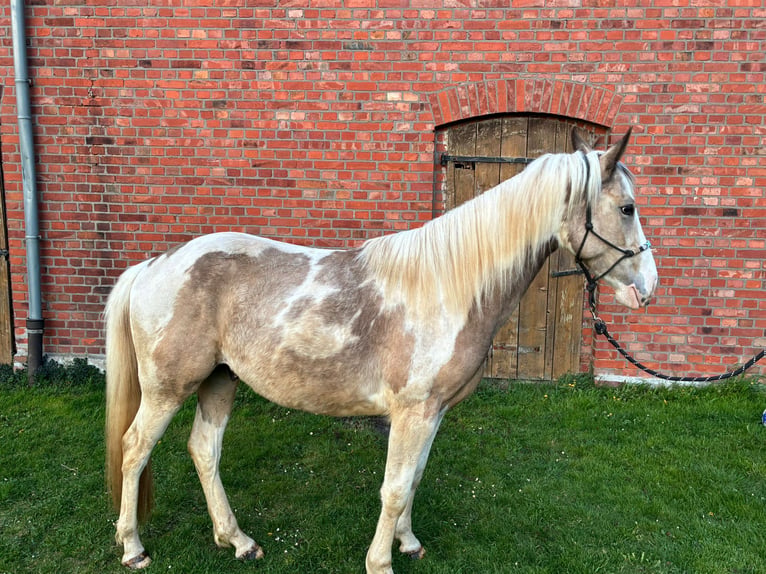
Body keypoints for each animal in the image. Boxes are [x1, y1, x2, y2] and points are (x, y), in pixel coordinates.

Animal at [105, 128, 657, 573]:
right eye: (627, 208)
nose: (647, 288)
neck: (448, 288)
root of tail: (155, 265)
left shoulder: (433, 413)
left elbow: (413, 480)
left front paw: (408, 543)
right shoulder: (411, 412)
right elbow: (393, 488)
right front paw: (381, 561)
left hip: (220, 379)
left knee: (204, 450)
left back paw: (237, 540)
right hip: (167, 388)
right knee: (135, 448)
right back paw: (132, 548)